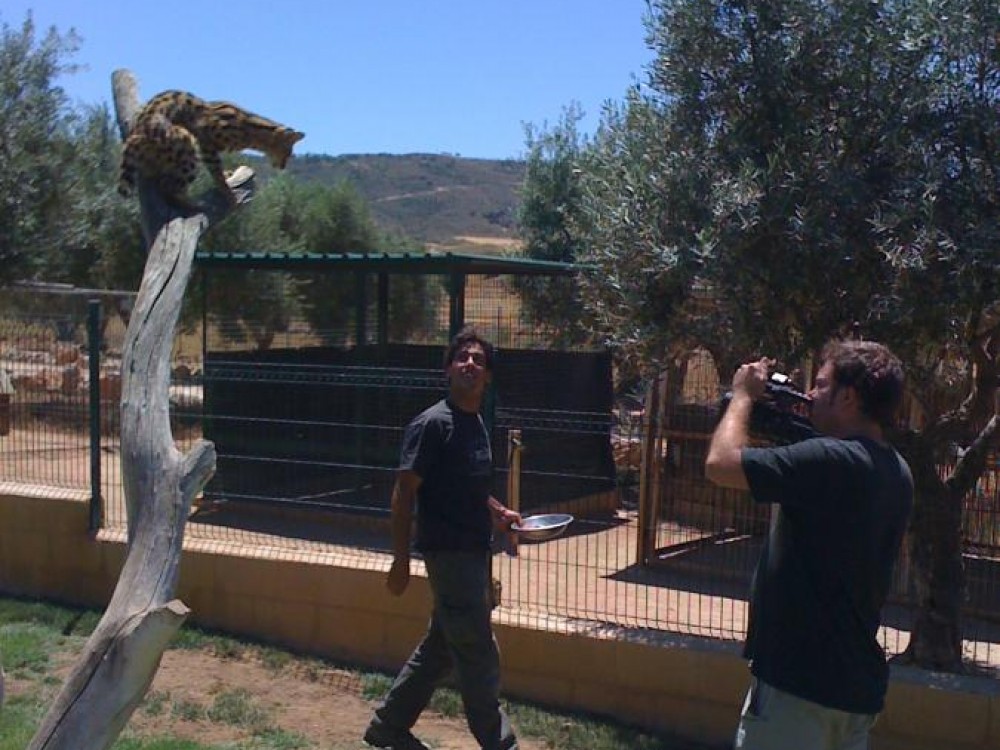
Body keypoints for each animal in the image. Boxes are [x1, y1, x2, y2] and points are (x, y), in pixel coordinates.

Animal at [118, 89, 305, 210]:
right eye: (288, 152)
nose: (283, 166)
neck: (250, 130)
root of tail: (134, 137)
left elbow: (219, 171)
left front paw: (228, 174)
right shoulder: (206, 143)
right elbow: (216, 173)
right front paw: (229, 194)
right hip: (187, 142)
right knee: (170, 187)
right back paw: (195, 205)